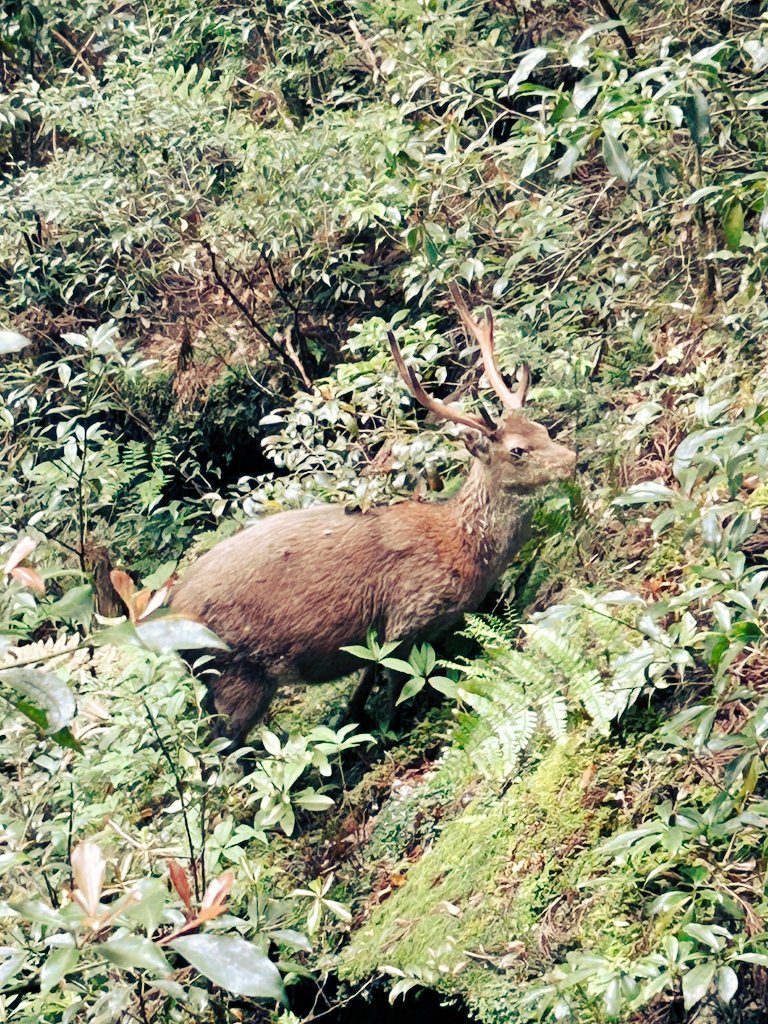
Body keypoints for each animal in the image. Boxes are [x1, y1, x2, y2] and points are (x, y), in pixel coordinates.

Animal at [169, 284, 577, 747]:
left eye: (542, 430)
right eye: (517, 451)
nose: (572, 459)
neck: (464, 550)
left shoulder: (380, 637)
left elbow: (364, 681)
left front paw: (355, 723)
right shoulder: (409, 615)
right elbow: (396, 682)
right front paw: (390, 734)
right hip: (235, 674)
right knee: (221, 752)